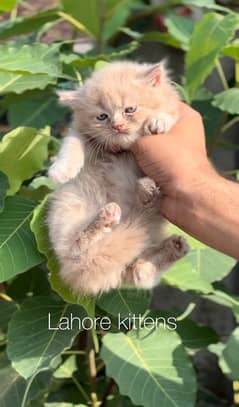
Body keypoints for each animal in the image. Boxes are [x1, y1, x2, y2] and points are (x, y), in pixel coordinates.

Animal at [47, 61, 190, 296]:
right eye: (102, 117)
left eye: (129, 109)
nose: (117, 126)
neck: (123, 150)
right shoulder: (81, 134)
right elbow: (72, 144)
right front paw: (61, 170)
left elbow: (169, 115)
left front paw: (158, 122)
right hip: (67, 210)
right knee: (75, 248)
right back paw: (107, 218)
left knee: (139, 272)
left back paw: (171, 241)